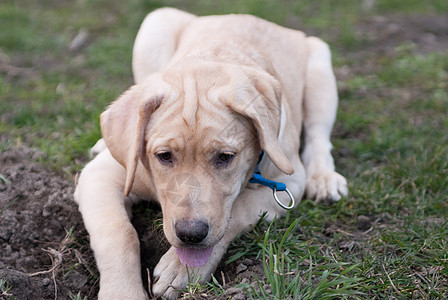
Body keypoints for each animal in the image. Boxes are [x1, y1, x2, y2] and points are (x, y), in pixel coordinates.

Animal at [73, 7, 348, 300]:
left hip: (320, 70)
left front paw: (181, 269)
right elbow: (118, 232)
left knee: (319, 137)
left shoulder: (287, 184)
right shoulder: (101, 176)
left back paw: (324, 179)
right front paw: (123, 291)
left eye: (225, 157)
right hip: (155, 24)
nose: (190, 234)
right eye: (164, 156)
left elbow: (238, 209)